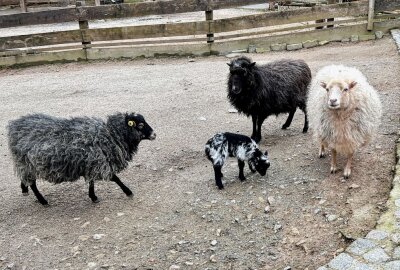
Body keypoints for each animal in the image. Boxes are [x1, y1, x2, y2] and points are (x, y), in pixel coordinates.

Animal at [7, 112, 156, 205]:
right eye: (140, 125)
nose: (154, 134)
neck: (110, 135)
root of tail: (13, 126)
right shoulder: (99, 162)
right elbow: (115, 178)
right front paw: (128, 192)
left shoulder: (91, 164)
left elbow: (91, 182)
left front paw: (93, 197)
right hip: (28, 163)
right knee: (32, 183)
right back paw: (43, 201)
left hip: (25, 164)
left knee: (25, 178)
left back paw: (24, 189)